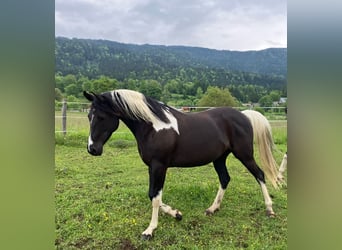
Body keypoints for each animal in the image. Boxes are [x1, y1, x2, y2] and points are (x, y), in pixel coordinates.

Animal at [84, 89, 280, 239]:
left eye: (101, 117)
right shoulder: (152, 167)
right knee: (225, 179)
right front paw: (176, 214)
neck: (153, 127)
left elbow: (155, 197)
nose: (92, 149)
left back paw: (270, 210)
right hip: (219, 158)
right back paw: (212, 209)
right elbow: (152, 195)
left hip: (244, 155)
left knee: (259, 174)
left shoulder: (159, 166)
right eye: (88, 116)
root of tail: (244, 115)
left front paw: (150, 230)